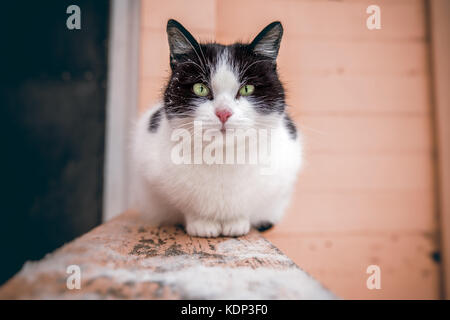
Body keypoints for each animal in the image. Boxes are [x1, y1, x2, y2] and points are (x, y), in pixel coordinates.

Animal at [130, 18, 302, 236]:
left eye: (247, 88)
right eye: (200, 88)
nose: (223, 113)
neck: (221, 156)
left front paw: (236, 223)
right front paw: (201, 224)